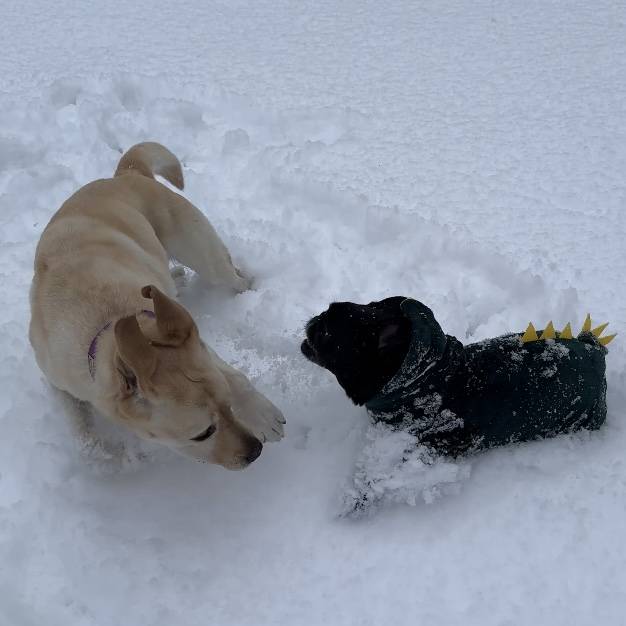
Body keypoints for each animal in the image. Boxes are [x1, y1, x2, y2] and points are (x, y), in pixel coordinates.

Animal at [28, 141, 282, 468]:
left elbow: (236, 378)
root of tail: (126, 173)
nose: (255, 451)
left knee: (235, 276)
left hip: (202, 253)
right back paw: (177, 279)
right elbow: (80, 429)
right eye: (203, 433)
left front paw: (263, 416)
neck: (112, 322)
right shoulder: (58, 381)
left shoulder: (197, 347)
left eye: (228, 406)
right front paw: (106, 456)